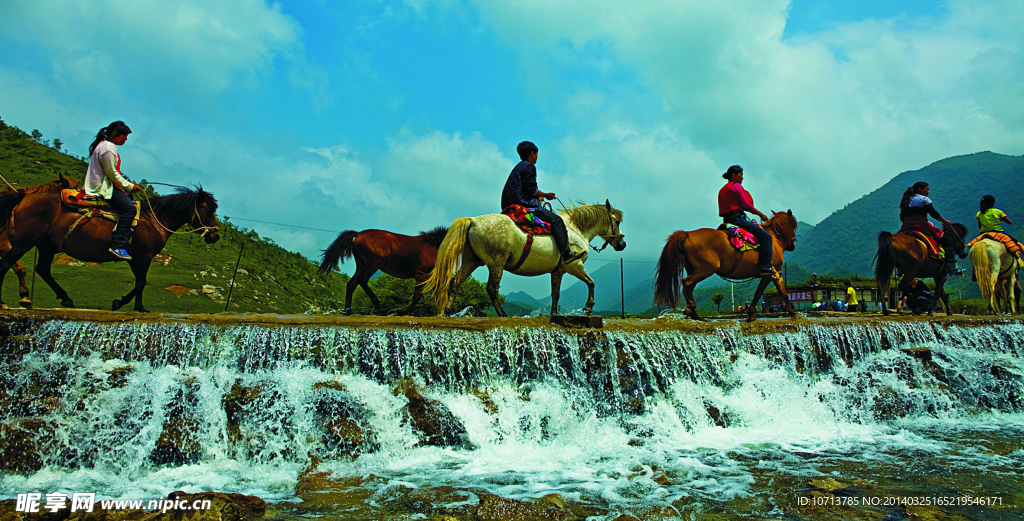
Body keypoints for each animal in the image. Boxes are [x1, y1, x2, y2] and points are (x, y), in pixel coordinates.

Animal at [0, 185, 220, 311]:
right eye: (208, 210)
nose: (215, 236)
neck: (153, 219)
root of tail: (24, 196)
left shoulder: (136, 258)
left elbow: (140, 283)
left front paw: (127, 304)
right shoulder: (143, 256)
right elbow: (141, 282)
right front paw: (132, 306)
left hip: (46, 246)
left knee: (42, 270)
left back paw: (66, 299)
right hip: (24, 242)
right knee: (7, 265)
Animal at [317, 226, 446, 315]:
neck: (435, 246)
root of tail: (358, 234)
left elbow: (440, 295)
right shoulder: (421, 275)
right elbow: (417, 297)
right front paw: (399, 312)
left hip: (361, 265)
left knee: (351, 284)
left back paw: (347, 311)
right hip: (374, 263)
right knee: (361, 280)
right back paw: (377, 306)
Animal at [423, 199, 622, 315]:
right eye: (617, 222)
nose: (622, 244)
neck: (576, 229)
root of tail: (473, 221)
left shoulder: (557, 271)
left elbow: (555, 294)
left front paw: (554, 315)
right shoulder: (575, 265)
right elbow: (591, 282)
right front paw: (588, 307)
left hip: (471, 261)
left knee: (454, 282)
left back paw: (447, 311)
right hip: (496, 262)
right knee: (492, 288)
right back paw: (503, 315)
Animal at [655, 209, 798, 321]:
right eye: (794, 226)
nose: (793, 245)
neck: (774, 238)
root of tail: (688, 234)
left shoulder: (772, 274)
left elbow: (771, 292)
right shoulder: (771, 273)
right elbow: (769, 293)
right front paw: (792, 313)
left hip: (693, 269)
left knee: (689, 286)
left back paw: (693, 313)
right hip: (706, 269)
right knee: (687, 282)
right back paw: (691, 309)